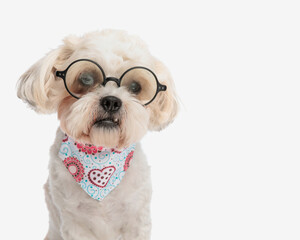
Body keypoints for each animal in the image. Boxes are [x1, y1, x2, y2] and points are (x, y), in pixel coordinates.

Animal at [17, 30, 178, 240]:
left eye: (135, 87)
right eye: (86, 79)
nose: (112, 101)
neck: (100, 154)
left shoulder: (136, 219)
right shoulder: (74, 223)